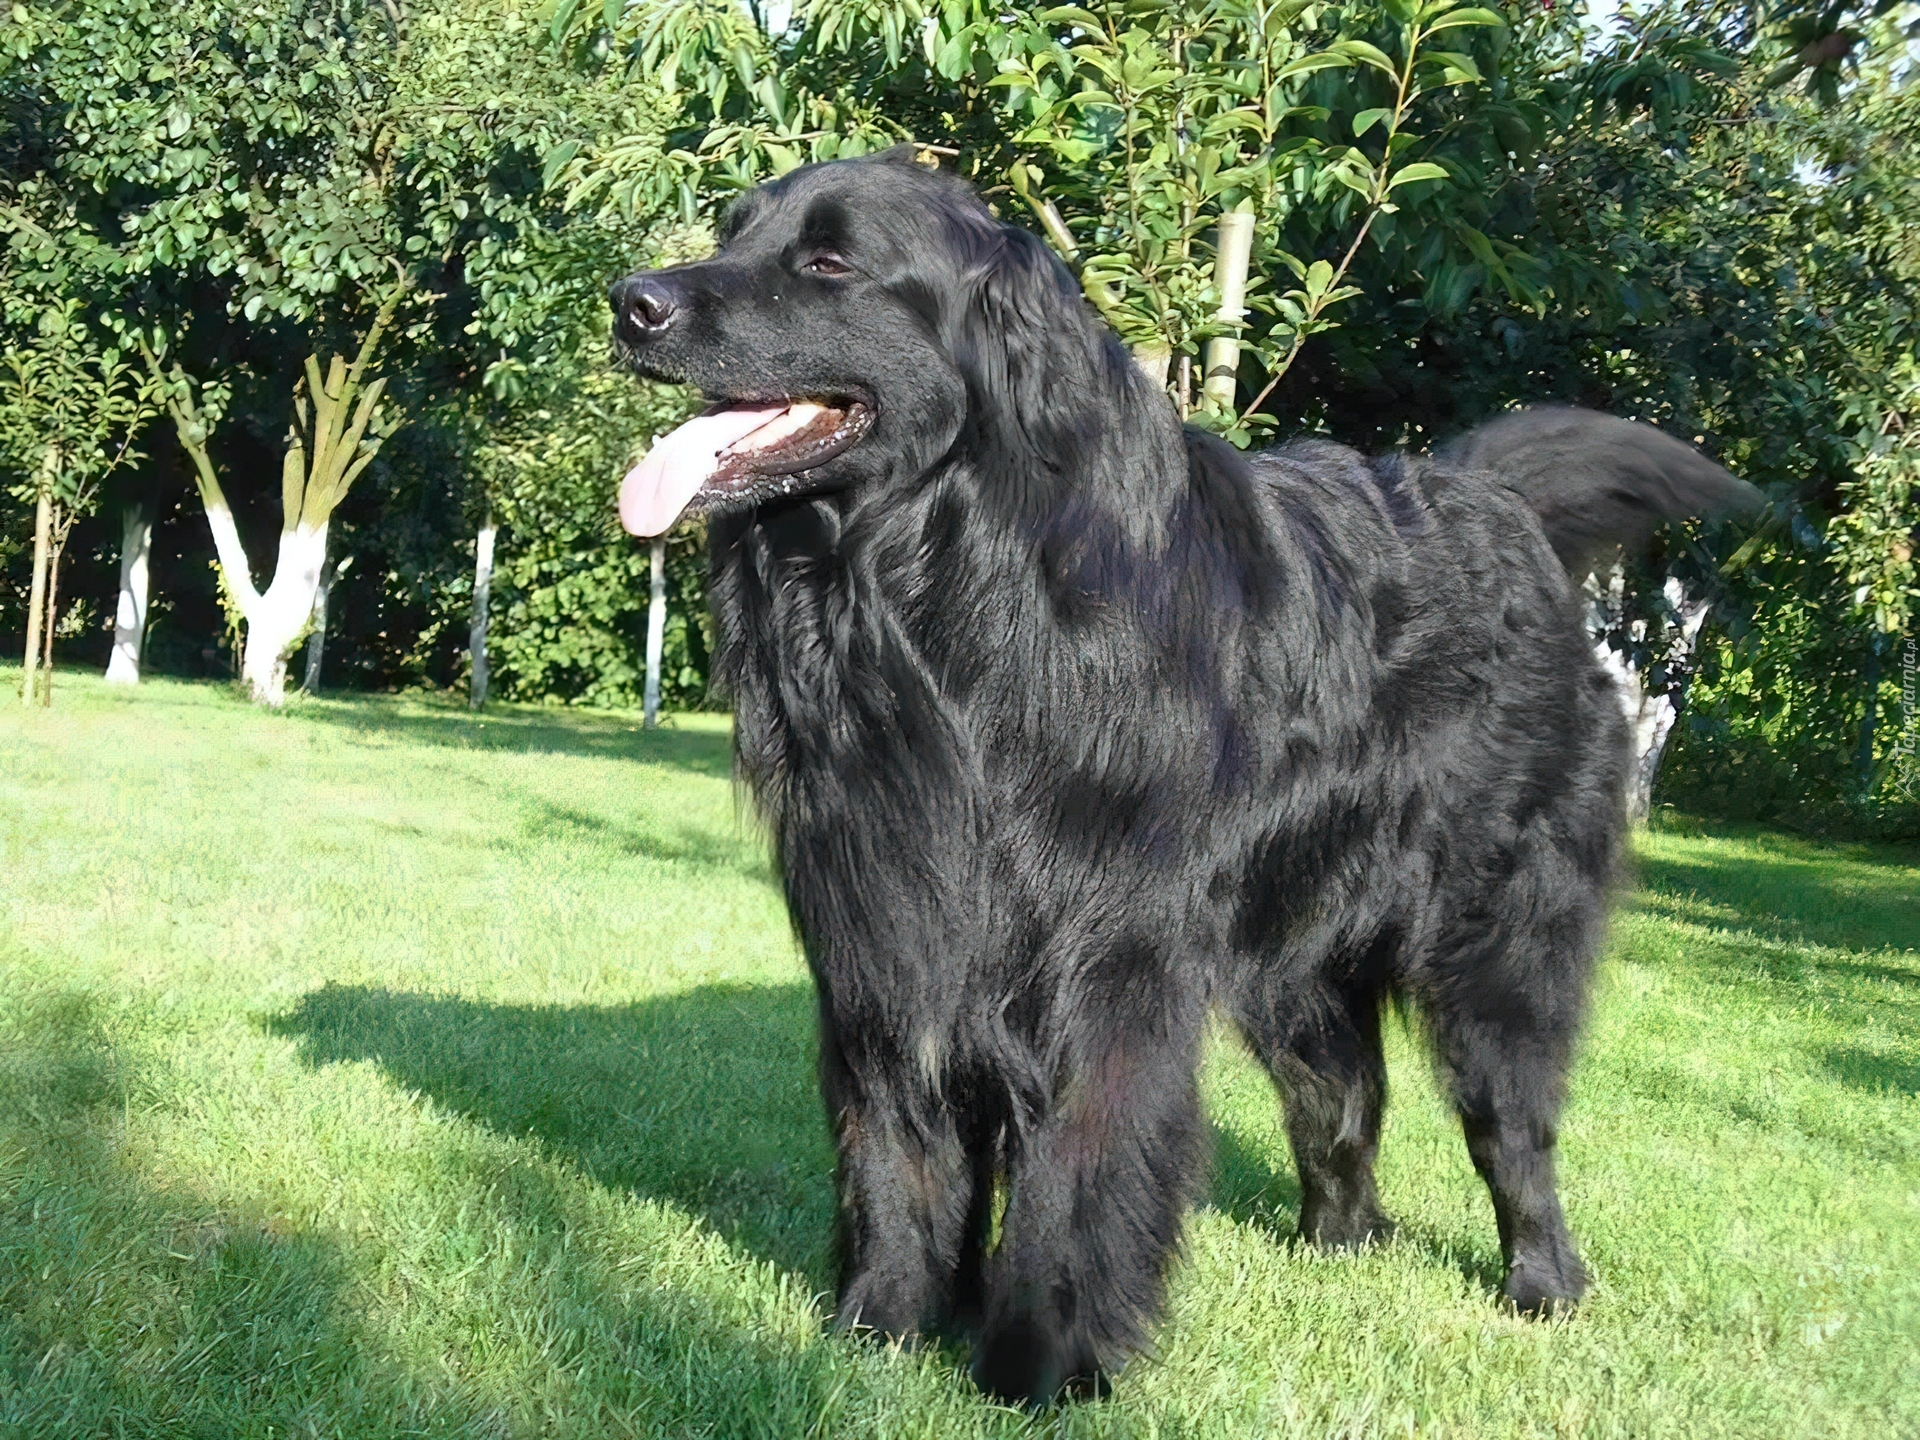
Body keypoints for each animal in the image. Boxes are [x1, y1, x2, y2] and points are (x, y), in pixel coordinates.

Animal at [607, 147, 1758, 1405]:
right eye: (731, 234)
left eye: (827, 262)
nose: (631, 301)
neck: (944, 604)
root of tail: (1493, 502)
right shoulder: (886, 945)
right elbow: (897, 1160)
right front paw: (879, 1338)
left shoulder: (1102, 967)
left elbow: (1073, 1176)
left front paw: (1037, 1369)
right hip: (1297, 960)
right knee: (1343, 1100)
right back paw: (1334, 1250)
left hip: (1498, 937)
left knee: (1511, 1121)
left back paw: (1542, 1284)